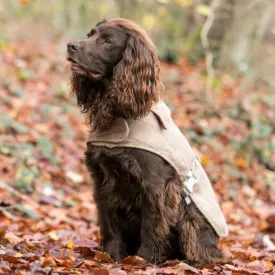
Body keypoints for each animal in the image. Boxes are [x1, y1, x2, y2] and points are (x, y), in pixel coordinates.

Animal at [67, 17, 229, 266]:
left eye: (108, 41)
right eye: (90, 34)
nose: (71, 46)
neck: (120, 116)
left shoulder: (156, 185)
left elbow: (151, 226)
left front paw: (141, 261)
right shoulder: (102, 178)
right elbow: (109, 222)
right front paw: (110, 257)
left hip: (190, 214)